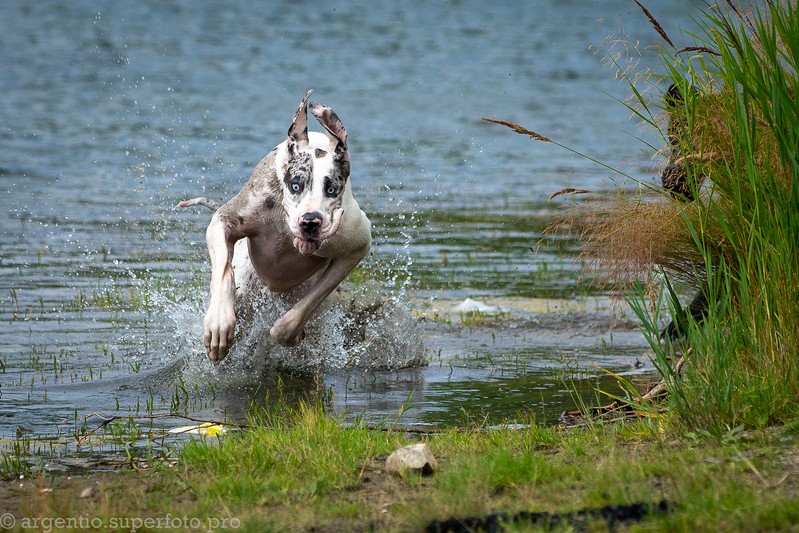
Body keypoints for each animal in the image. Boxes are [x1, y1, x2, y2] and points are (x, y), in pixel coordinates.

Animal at [181, 92, 372, 366]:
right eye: (295, 185)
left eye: (331, 189)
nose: (310, 221)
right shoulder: (224, 221)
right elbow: (223, 273)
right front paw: (219, 323)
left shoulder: (356, 245)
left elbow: (305, 307)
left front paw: (288, 333)